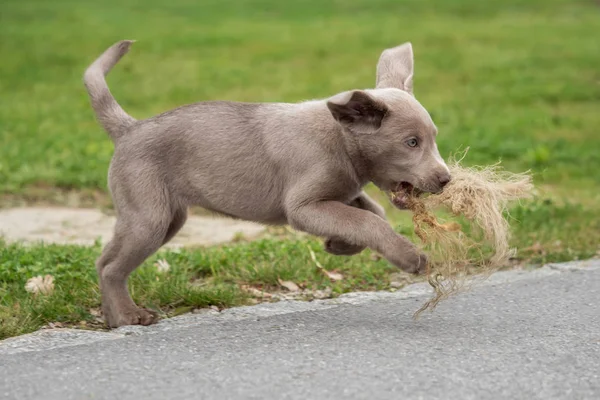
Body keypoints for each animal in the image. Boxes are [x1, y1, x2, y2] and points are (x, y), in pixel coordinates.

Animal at [83, 40, 450, 328]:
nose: (446, 179)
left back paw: (113, 316)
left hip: (164, 217)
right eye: (411, 143)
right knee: (112, 267)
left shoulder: (340, 193)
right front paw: (409, 256)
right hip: (149, 216)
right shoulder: (302, 207)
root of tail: (129, 129)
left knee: (104, 261)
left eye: (433, 138)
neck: (341, 141)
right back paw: (128, 316)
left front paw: (340, 245)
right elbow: (368, 220)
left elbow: (370, 212)